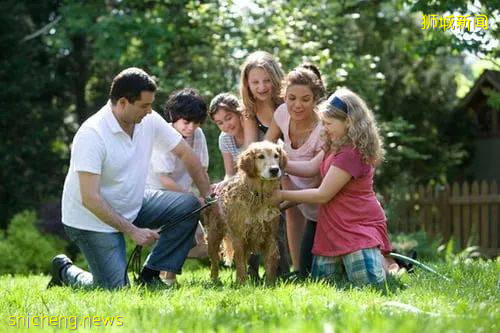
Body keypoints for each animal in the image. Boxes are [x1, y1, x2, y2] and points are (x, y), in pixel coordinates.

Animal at [205, 140, 288, 282]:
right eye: (261, 156)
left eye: (276, 156)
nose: (274, 170)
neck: (258, 195)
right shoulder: (239, 236)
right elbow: (240, 264)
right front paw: (241, 283)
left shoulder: (271, 235)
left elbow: (270, 264)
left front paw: (270, 283)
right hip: (214, 235)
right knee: (214, 261)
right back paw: (214, 281)